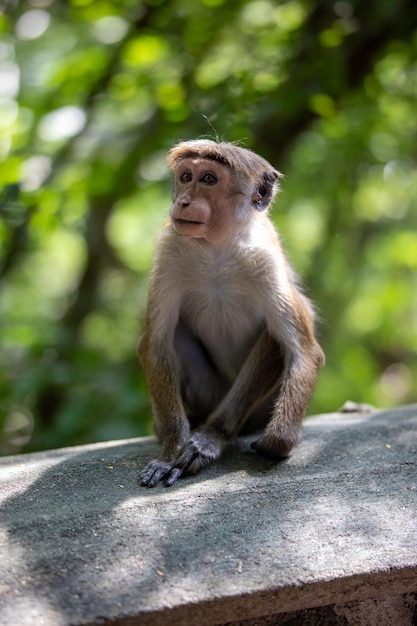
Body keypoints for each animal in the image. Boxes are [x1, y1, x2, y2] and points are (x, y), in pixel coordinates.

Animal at [138, 139, 324, 486]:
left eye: (208, 179)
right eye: (186, 177)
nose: (183, 201)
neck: (217, 248)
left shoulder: (267, 259)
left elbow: (305, 351)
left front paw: (273, 443)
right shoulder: (170, 248)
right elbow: (155, 345)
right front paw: (171, 450)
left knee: (273, 337)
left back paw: (214, 434)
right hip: (207, 392)